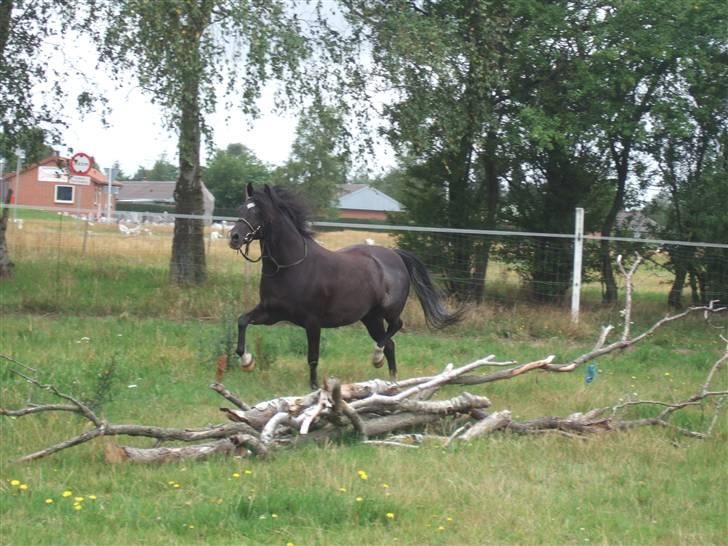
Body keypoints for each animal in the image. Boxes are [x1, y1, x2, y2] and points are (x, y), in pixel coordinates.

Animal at [228, 183, 460, 386]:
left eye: (258, 211)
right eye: (241, 208)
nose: (234, 237)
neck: (290, 267)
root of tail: (395, 255)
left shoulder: (312, 321)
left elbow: (313, 356)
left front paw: (314, 388)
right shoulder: (271, 313)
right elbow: (242, 321)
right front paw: (247, 362)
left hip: (388, 310)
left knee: (395, 328)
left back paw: (376, 358)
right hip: (371, 318)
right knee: (390, 344)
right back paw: (392, 381)